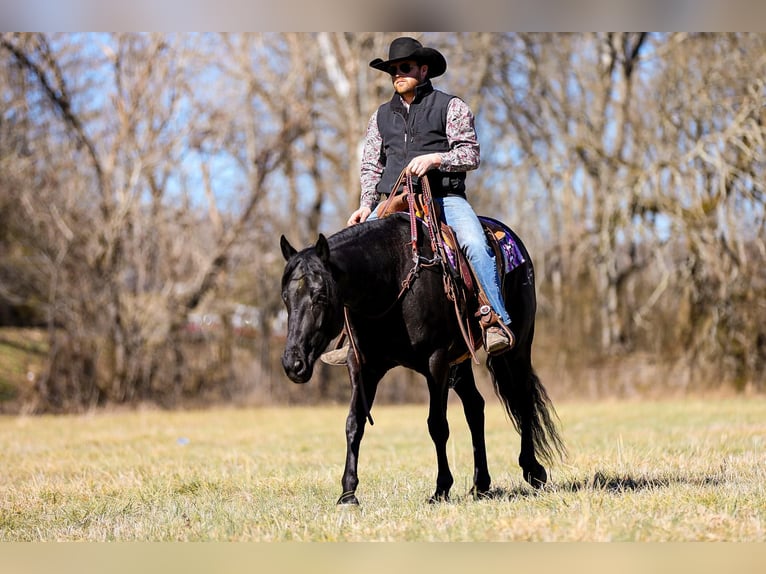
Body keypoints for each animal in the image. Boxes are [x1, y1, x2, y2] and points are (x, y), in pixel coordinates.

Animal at [280, 214, 568, 506]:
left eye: (320, 296)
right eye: (285, 297)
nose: (293, 364)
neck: (391, 279)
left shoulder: (436, 362)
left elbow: (437, 425)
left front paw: (441, 489)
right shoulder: (364, 367)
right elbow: (354, 423)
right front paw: (348, 494)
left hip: (517, 348)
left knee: (522, 400)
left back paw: (532, 470)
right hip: (461, 362)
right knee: (475, 408)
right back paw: (481, 484)